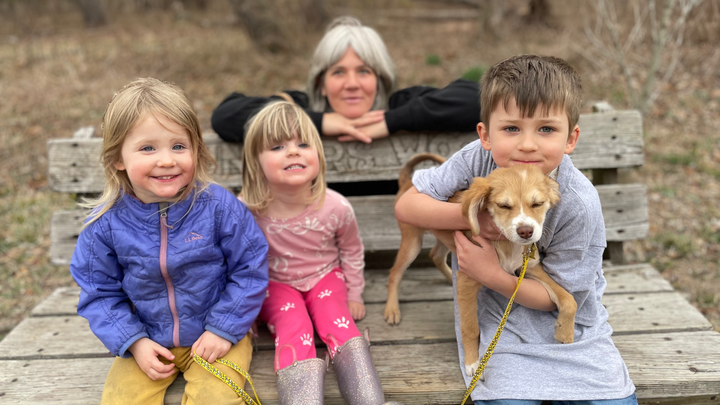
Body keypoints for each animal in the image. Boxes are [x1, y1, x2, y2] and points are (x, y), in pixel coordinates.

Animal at [384, 153, 577, 376]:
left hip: (444, 237)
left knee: (435, 255)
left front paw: (565, 332)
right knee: (394, 273)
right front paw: (472, 363)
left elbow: (568, 298)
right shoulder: (469, 279)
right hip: (412, 241)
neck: (507, 244)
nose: (526, 232)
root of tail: (408, 181)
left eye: (538, 204)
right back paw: (392, 310)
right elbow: (470, 327)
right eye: (503, 206)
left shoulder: (531, 267)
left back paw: (450, 278)